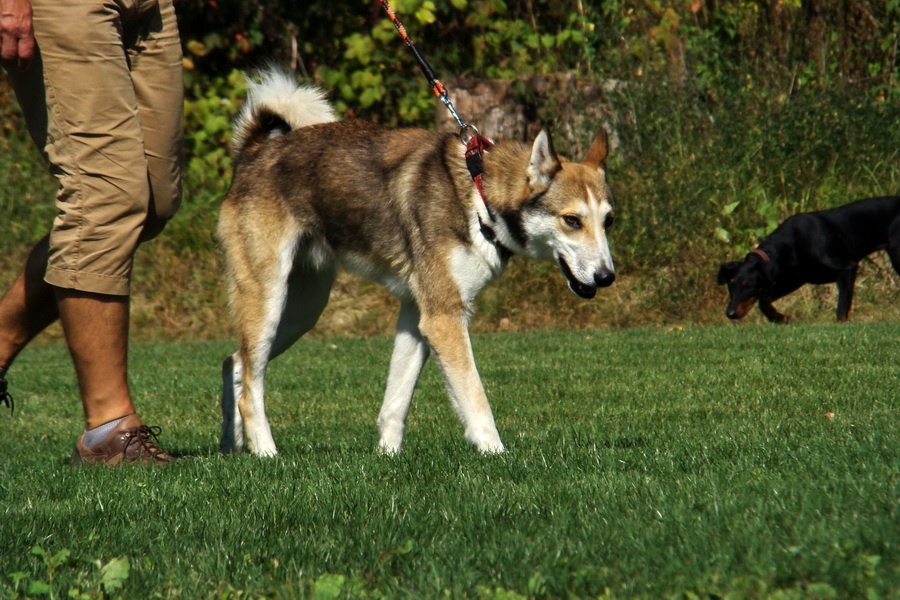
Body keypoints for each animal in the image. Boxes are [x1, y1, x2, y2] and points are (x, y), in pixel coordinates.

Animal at [216, 69, 620, 454]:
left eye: (609, 221)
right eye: (572, 220)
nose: (606, 277)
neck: (478, 197)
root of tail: (254, 150)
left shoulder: (417, 316)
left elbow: (396, 403)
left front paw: (387, 458)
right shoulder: (444, 319)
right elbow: (476, 401)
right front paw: (497, 455)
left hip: (302, 311)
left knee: (235, 363)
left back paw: (232, 449)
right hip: (269, 301)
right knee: (251, 390)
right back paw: (266, 453)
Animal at [716, 196, 900, 324]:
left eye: (748, 285)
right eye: (730, 285)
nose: (730, 313)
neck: (791, 245)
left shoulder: (847, 268)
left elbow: (842, 308)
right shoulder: (793, 280)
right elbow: (764, 301)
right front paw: (779, 318)